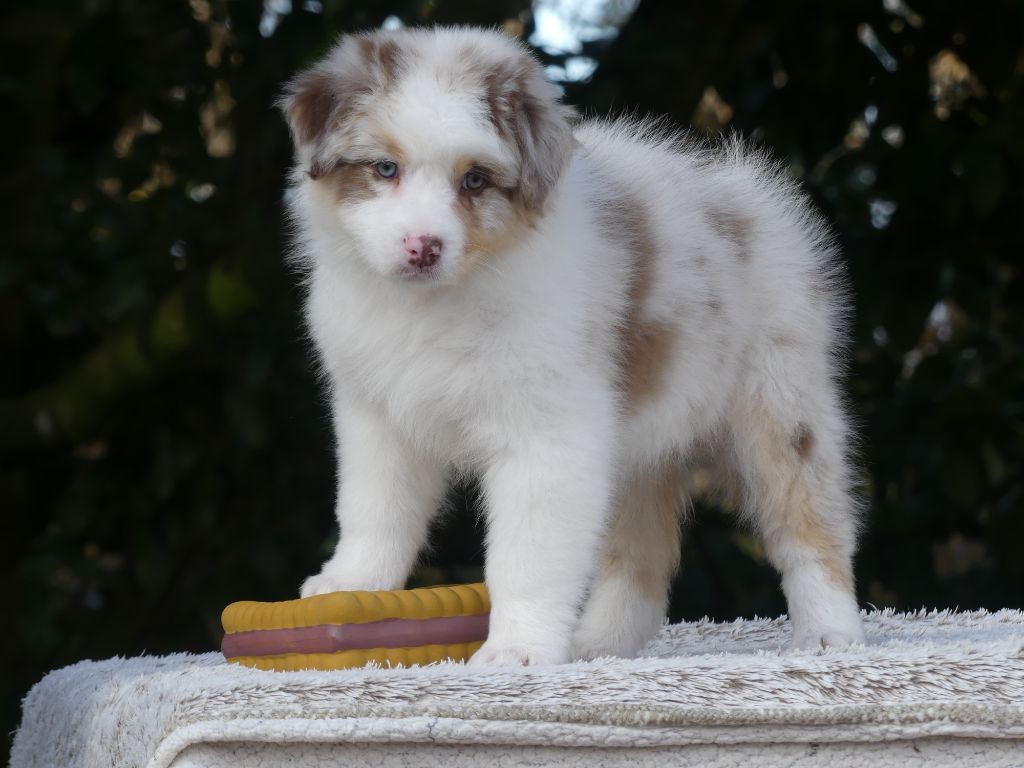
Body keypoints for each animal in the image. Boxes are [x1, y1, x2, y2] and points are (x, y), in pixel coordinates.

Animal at [284, 27, 868, 663]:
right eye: (385, 168)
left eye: (475, 181)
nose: (423, 247)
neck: (432, 303)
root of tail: (752, 194)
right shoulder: (377, 415)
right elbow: (374, 509)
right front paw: (351, 583)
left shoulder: (548, 433)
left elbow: (527, 556)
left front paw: (517, 650)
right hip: (641, 442)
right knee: (641, 552)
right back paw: (601, 644)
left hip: (781, 402)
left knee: (809, 519)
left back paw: (830, 633)